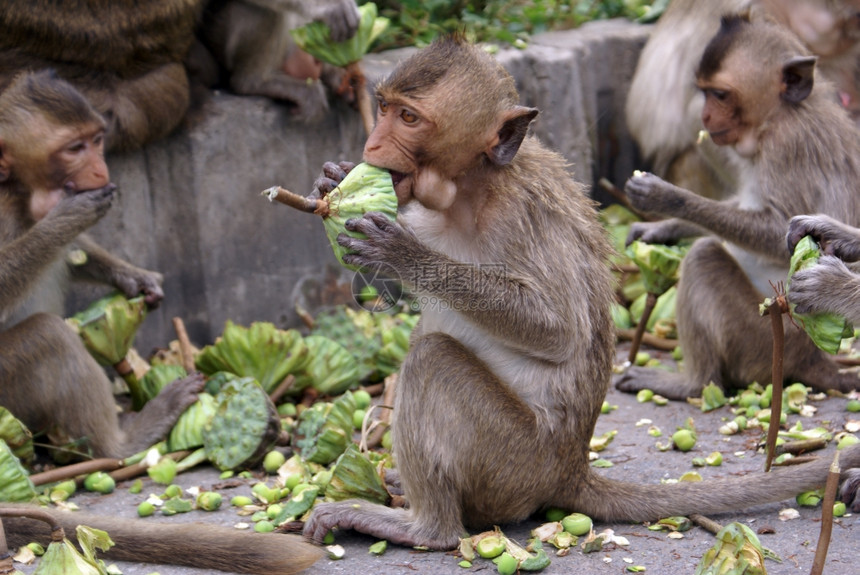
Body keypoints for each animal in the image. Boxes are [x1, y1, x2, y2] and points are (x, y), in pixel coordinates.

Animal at [0, 71, 203, 460]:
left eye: (95, 140)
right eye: (73, 149)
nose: (101, 168)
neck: (17, 191)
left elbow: (74, 251)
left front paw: (134, 277)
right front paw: (65, 219)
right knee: (50, 336)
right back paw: (124, 442)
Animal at [616, 13, 860, 400]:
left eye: (719, 95)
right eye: (703, 92)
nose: (703, 116)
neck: (779, 116)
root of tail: (815, 358)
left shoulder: (786, 145)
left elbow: (776, 230)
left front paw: (667, 197)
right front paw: (659, 227)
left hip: (765, 340)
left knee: (703, 258)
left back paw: (692, 383)